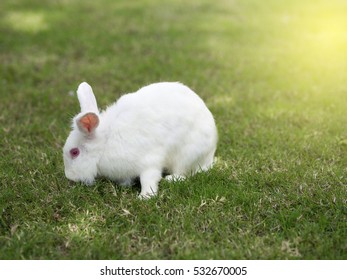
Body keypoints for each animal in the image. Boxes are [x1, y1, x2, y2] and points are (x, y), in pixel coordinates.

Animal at [63, 82, 218, 198]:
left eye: (74, 152)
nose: (69, 177)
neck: (106, 142)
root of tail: (209, 156)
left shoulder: (149, 162)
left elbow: (148, 179)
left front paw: (145, 197)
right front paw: (125, 184)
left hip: (187, 156)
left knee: (185, 172)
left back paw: (171, 179)